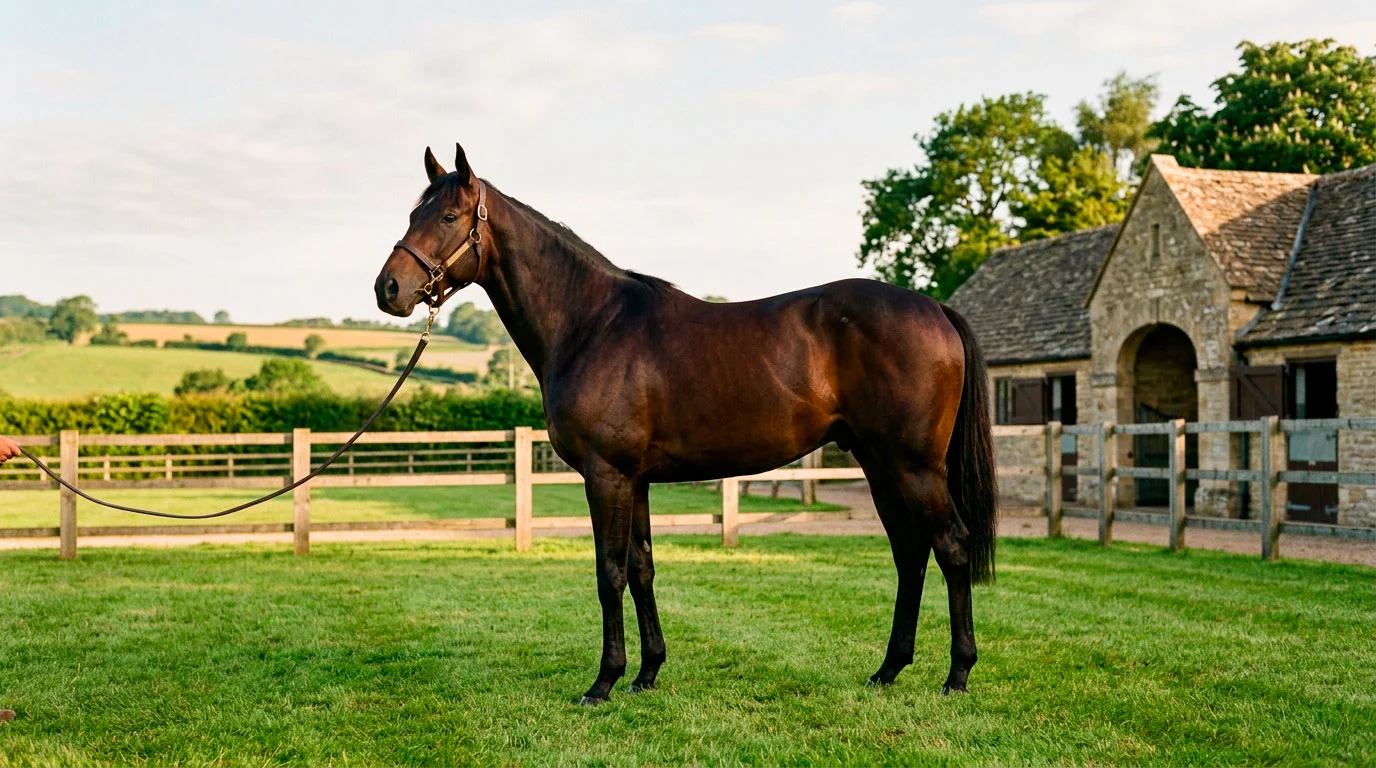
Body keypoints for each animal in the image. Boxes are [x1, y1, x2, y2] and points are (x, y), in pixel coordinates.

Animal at [373, 144, 998, 706]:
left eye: (448, 217)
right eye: (411, 216)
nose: (388, 290)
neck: (592, 323)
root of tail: (935, 308)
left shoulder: (606, 476)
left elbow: (608, 573)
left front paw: (602, 683)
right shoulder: (636, 480)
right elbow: (642, 568)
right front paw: (647, 673)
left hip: (915, 466)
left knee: (951, 547)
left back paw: (957, 674)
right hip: (879, 464)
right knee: (910, 554)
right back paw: (888, 670)